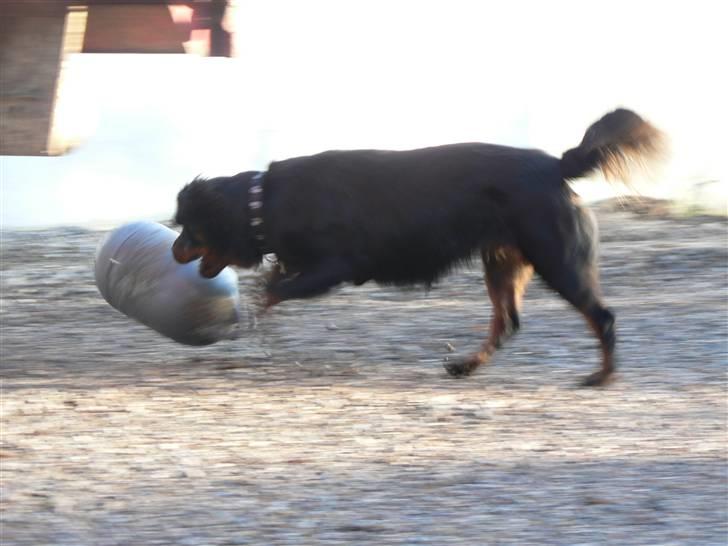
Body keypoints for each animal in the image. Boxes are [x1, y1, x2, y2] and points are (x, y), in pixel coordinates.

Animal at [173, 108, 664, 384]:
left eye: (189, 229)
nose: (175, 251)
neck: (265, 201)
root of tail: (556, 166)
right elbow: (280, 277)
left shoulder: (339, 265)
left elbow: (277, 289)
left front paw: (258, 311)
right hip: (501, 262)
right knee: (507, 322)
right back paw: (465, 365)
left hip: (556, 258)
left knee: (601, 316)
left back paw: (603, 376)